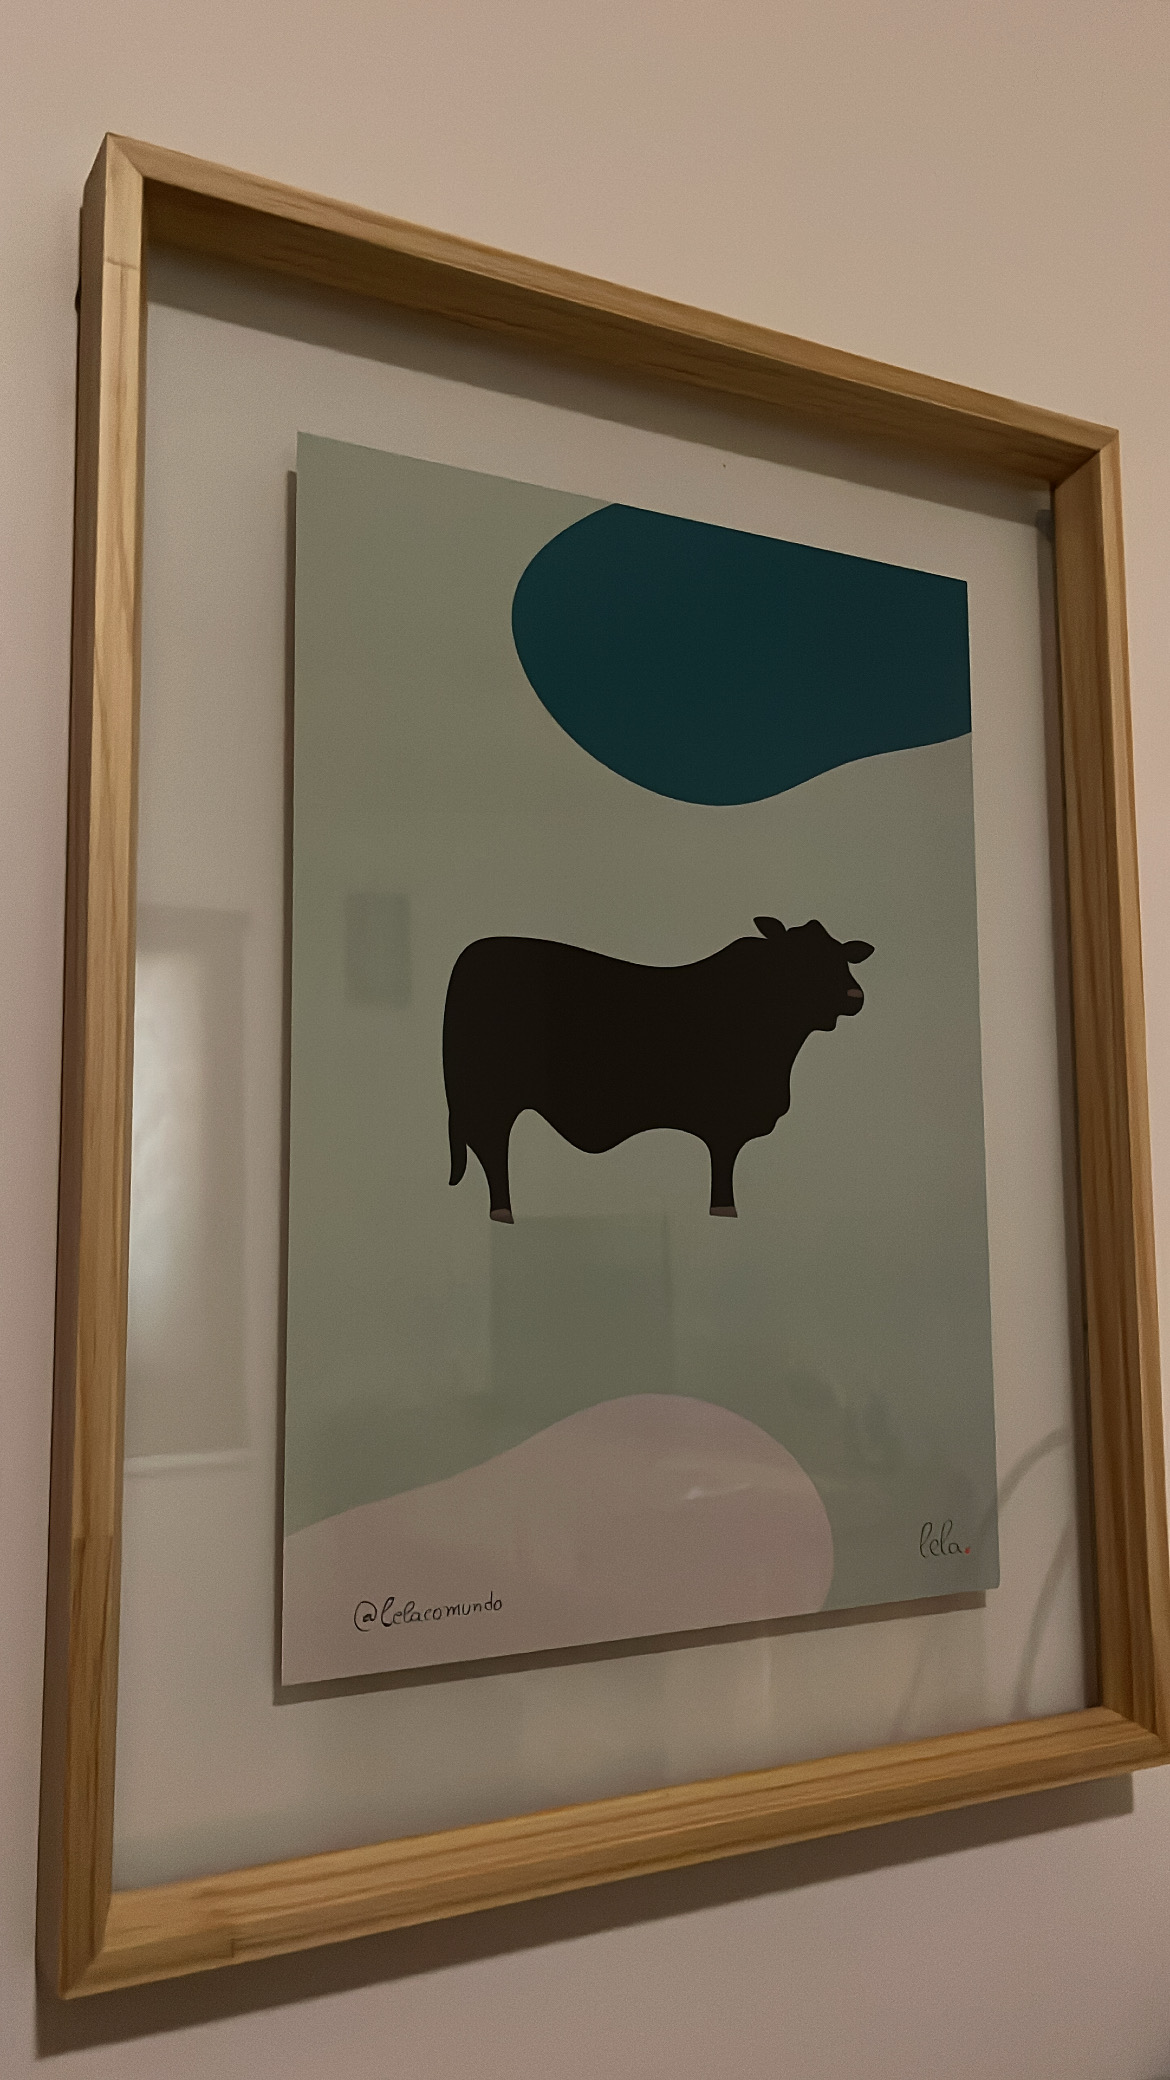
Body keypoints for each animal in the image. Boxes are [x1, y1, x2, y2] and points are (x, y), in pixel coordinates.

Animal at [443, 916, 873, 1222]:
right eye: (801, 958)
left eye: (843, 956)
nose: (856, 995)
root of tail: (471, 952)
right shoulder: (725, 1121)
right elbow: (724, 1173)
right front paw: (725, 1211)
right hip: (488, 1097)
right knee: (491, 1147)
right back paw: (503, 1213)